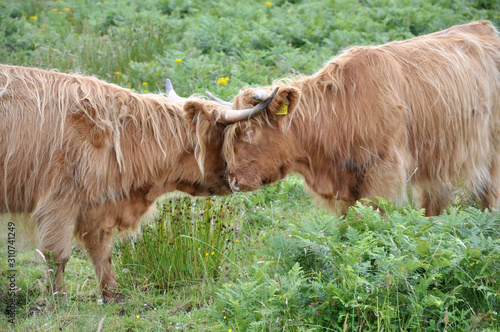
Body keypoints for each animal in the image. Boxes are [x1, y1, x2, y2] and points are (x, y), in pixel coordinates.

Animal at [0, 65, 232, 300]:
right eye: (228, 136)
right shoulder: (58, 201)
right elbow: (57, 255)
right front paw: (57, 299)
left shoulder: (96, 206)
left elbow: (102, 253)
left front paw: (112, 294)